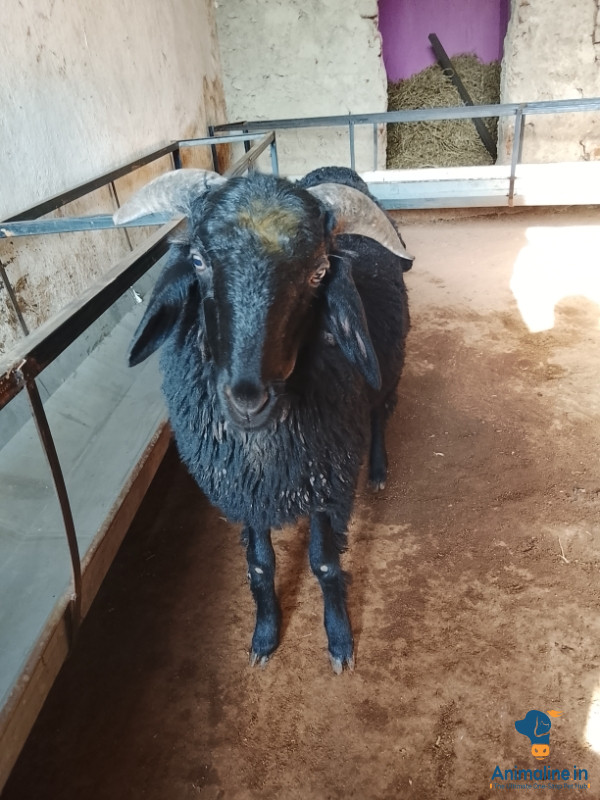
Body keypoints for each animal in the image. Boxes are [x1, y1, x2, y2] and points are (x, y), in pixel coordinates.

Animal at [114, 166, 413, 673]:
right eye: (198, 260)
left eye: (319, 272)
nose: (248, 399)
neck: (261, 449)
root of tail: (337, 169)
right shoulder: (242, 489)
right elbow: (259, 565)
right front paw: (266, 636)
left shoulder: (327, 480)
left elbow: (325, 564)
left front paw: (339, 639)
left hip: (386, 372)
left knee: (379, 415)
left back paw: (376, 470)